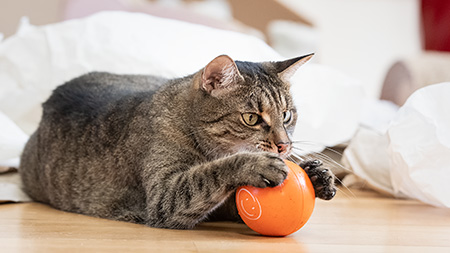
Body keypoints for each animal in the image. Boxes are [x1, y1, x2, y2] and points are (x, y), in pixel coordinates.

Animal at [20, 53, 338, 229]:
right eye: (251, 118)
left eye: (286, 115)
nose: (284, 145)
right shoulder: (164, 197)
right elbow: (209, 174)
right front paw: (256, 164)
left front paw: (316, 173)